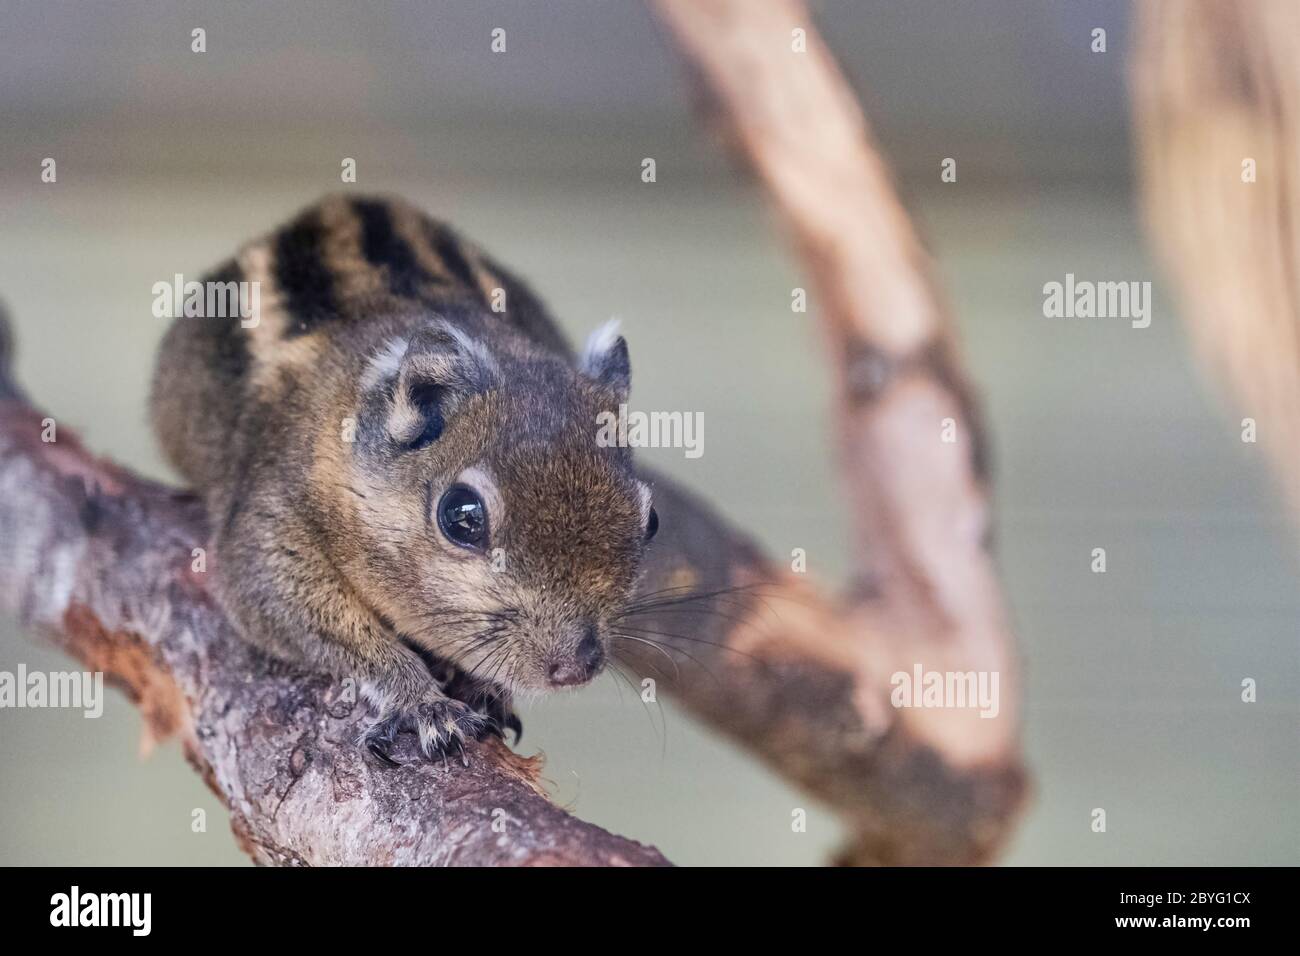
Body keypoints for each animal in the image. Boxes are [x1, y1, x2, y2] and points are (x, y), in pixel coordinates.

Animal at [151, 194, 657, 765]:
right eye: (461, 517)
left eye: (652, 521)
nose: (575, 666)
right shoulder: (271, 515)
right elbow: (291, 604)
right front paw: (421, 702)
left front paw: (486, 688)